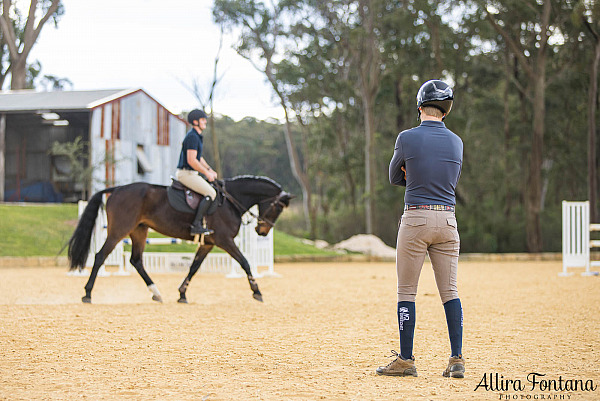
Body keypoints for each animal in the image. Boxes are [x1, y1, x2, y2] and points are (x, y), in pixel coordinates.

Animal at [68, 175, 292, 304]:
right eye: (277, 208)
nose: (262, 231)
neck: (230, 201)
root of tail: (116, 189)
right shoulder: (224, 240)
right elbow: (245, 262)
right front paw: (257, 291)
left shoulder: (208, 243)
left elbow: (194, 267)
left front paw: (182, 294)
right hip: (119, 231)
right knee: (100, 256)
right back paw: (87, 294)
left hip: (139, 230)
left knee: (136, 260)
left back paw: (156, 293)